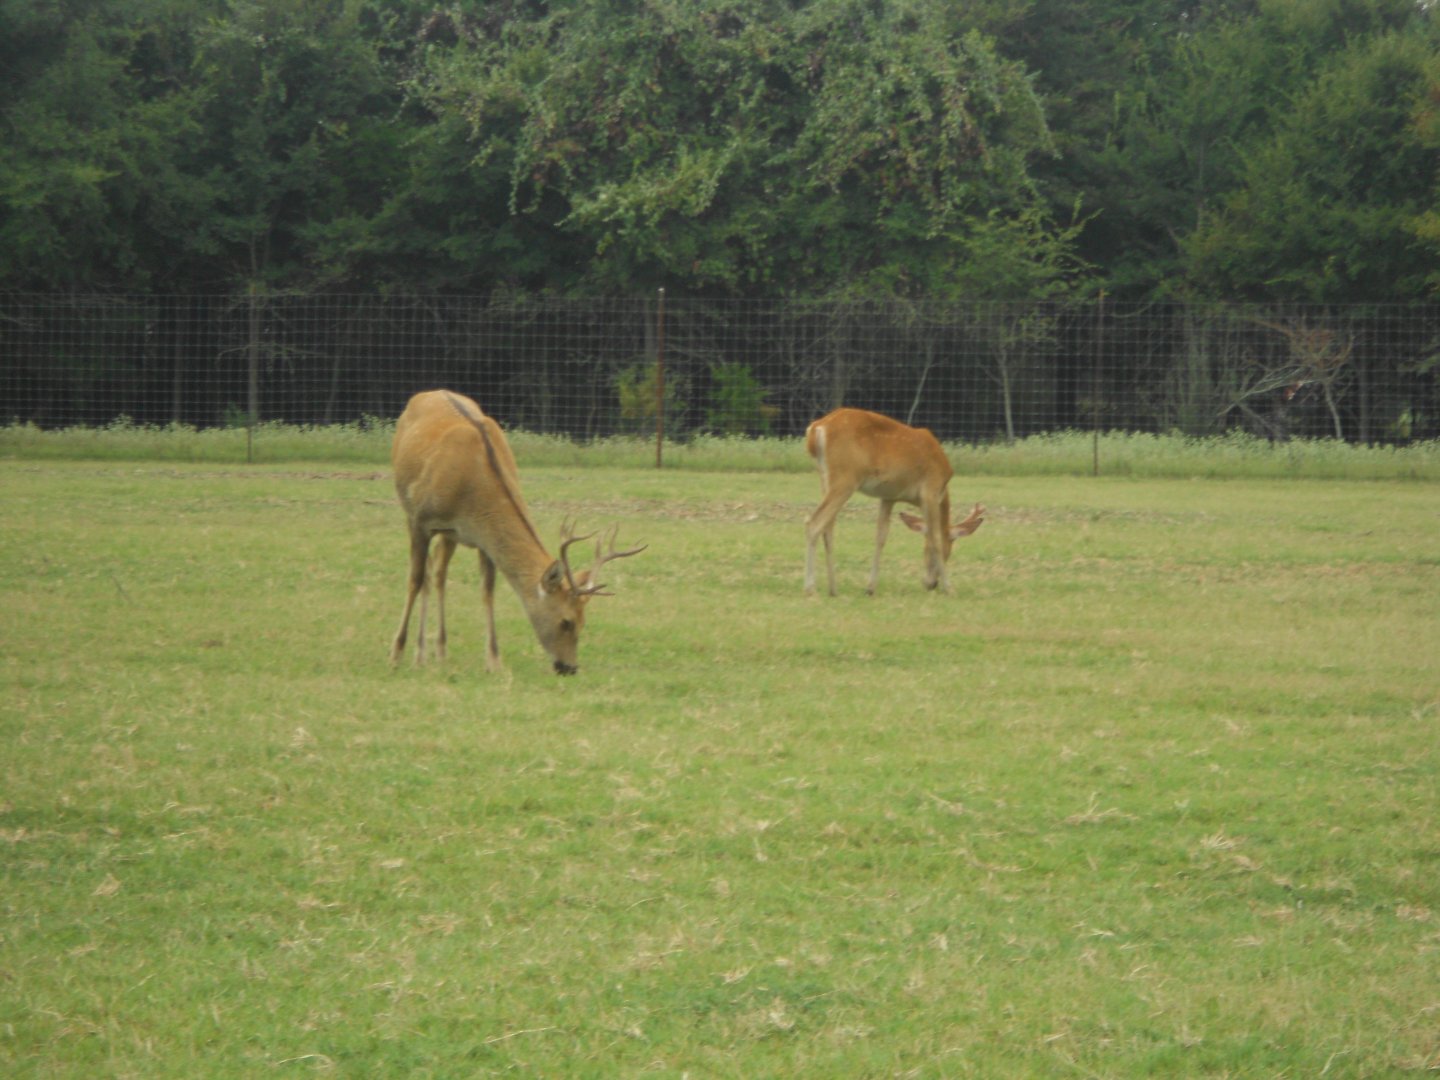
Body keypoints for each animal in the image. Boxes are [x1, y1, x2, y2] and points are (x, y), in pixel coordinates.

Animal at [390, 390, 645, 675]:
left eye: (584, 621)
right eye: (566, 621)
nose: (569, 667)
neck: (471, 491)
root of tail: (427, 393)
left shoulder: (483, 538)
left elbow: (487, 589)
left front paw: (494, 660)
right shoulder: (420, 520)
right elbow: (414, 581)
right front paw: (397, 653)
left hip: (450, 534)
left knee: (438, 570)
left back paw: (440, 650)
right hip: (414, 510)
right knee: (425, 575)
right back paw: (419, 653)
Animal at [804, 407, 985, 596]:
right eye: (947, 552)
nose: (931, 584)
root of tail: (816, 428)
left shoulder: (889, 496)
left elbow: (881, 536)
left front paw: (870, 587)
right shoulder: (930, 491)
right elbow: (935, 537)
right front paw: (949, 588)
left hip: (825, 478)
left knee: (828, 528)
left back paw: (833, 588)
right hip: (845, 477)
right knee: (814, 522)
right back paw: (810, 588)